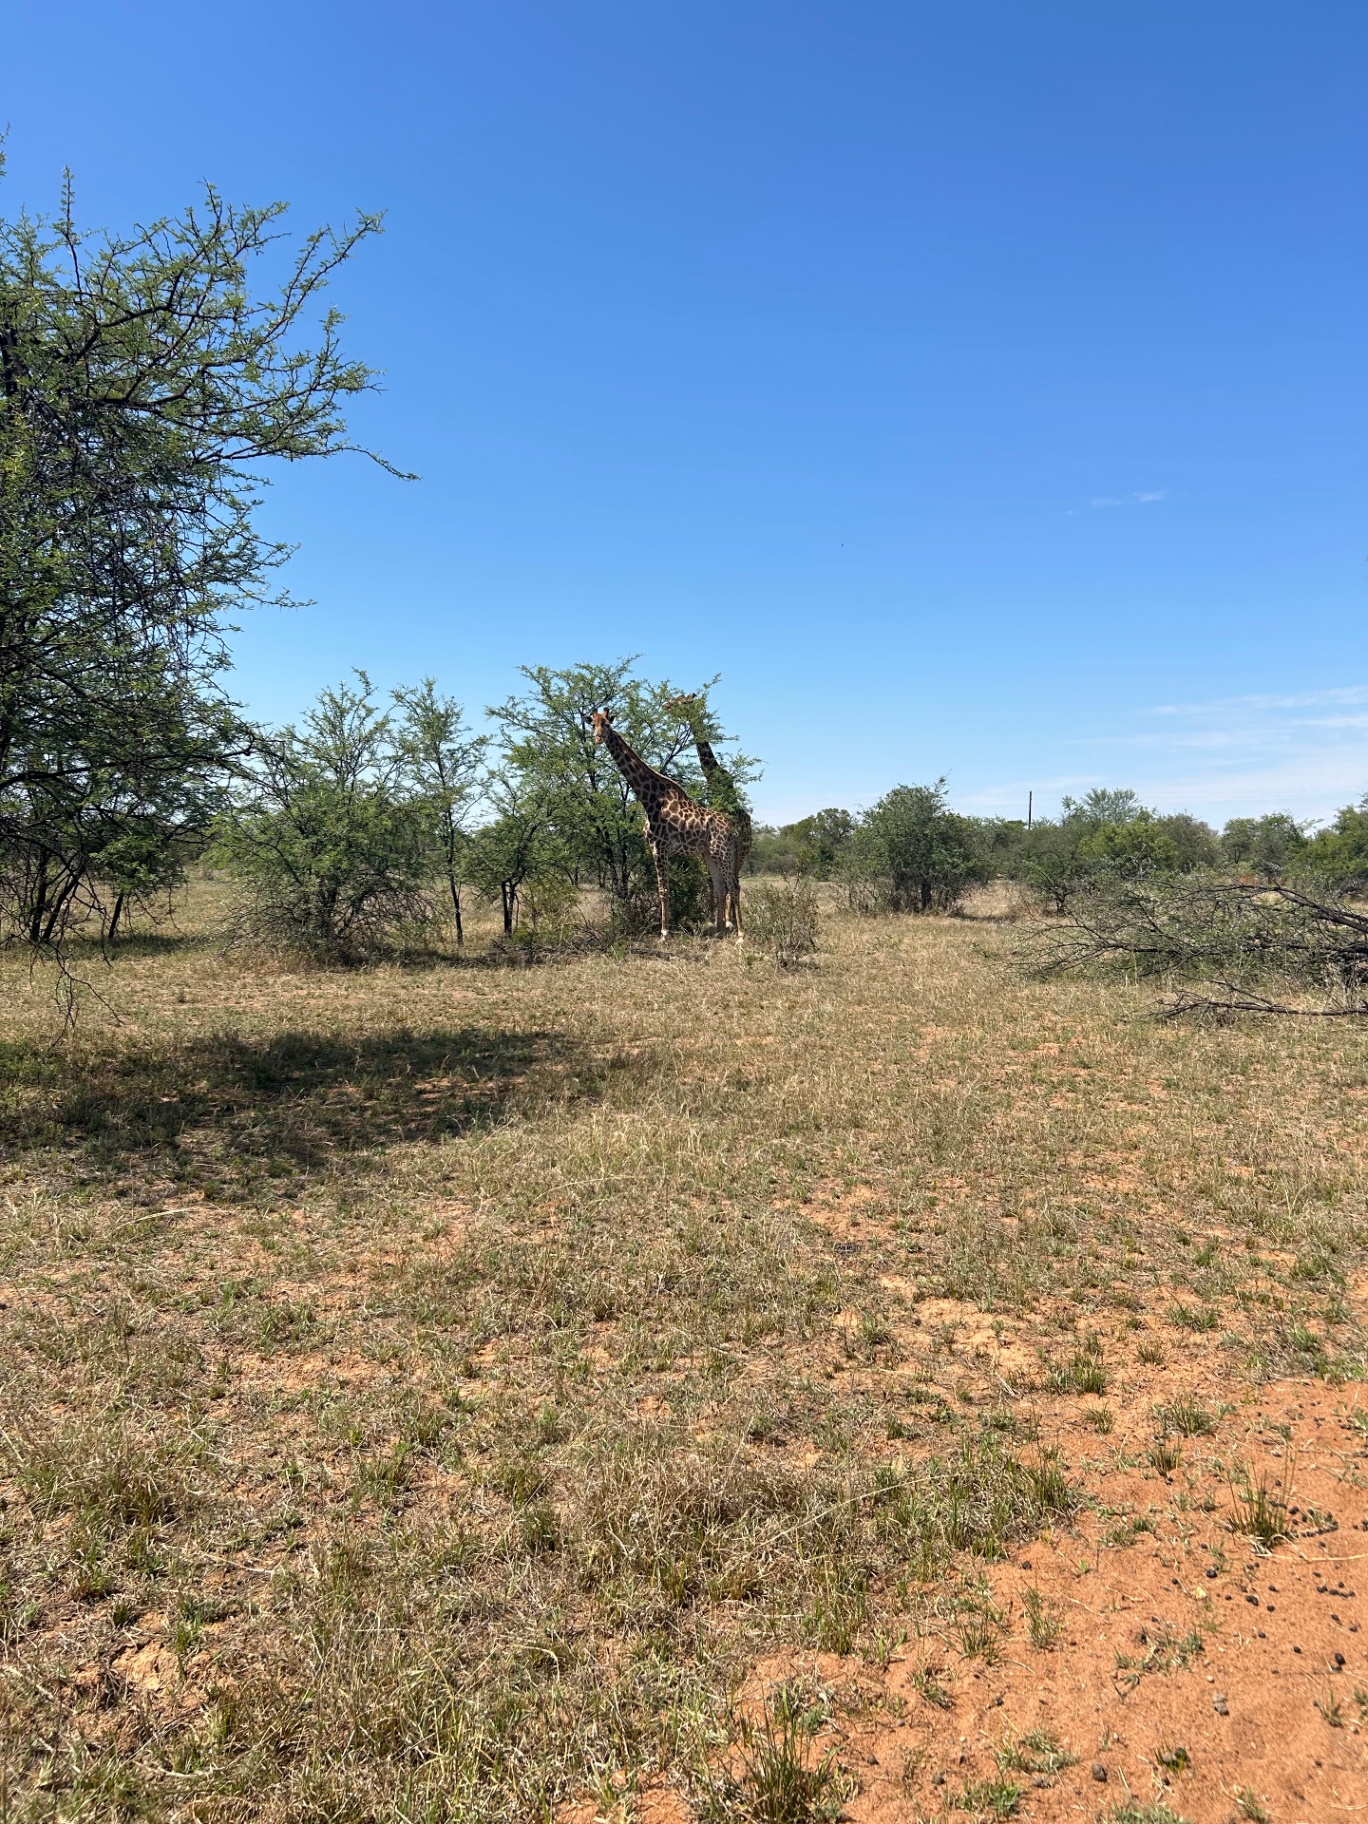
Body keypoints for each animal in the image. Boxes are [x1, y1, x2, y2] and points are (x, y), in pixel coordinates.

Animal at [591, 710, 743, 939]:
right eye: (593, 724)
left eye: (607, 724)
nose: (598, 738)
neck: (650, 798)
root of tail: (731, 830)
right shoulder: (657, 848)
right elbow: (663, 889)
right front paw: (664, 930)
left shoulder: (659, 847)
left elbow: (664, 890)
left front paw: (664, 932)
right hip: (709, 853)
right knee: (720, 887)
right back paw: (719, 932)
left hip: (722, 851)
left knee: (733, 885)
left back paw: (740, 935)